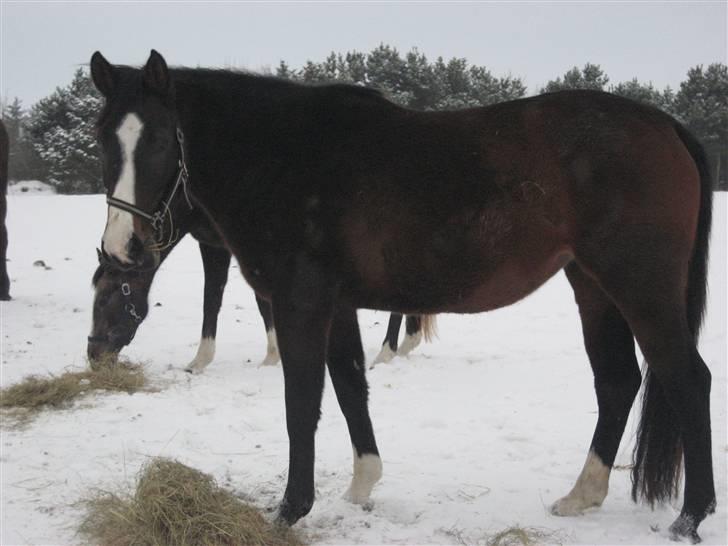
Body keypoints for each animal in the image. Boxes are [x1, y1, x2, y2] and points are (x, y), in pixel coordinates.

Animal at [89, 50, 716, 540]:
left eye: (159, 140)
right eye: (102, 138)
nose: (125, 247)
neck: (283, 158)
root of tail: (665, 126)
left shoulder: (300, 303)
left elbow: (301, 403)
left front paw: (290, 510)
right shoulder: (337, 305)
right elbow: (349, 387)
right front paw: (362, 484)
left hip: (640, 286)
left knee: (687, 379)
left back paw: (690, 518)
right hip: (593, 287)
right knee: (617, 382)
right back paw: (581, 495)